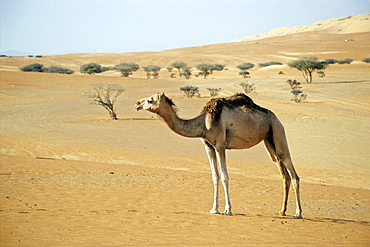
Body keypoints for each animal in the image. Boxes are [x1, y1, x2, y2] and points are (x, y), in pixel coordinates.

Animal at [134, 92, 302, 218]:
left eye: (150, 100)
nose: (137, 103)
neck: (203, 123)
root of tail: (276, 118)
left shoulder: (220, 145)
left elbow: (224, 177)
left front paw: (227, 210)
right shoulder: (208, 146)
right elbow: (215, 176)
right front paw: (213, 209)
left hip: (278, 130)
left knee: (292, 172)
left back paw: (298, 213)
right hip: (269, 140)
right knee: (283, 171)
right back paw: (282, 211)